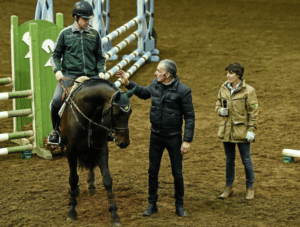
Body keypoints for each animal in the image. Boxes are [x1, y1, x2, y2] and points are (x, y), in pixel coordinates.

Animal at [59, 77, 135, 225]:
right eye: (116, 113)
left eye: (130, 112)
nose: (124, 142)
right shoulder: (70, 151)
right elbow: (73, 178)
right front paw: (71, 211)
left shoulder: (101, 148)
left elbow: (107, 179)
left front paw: (114, 214)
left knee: (90, 166)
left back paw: (91, 185)